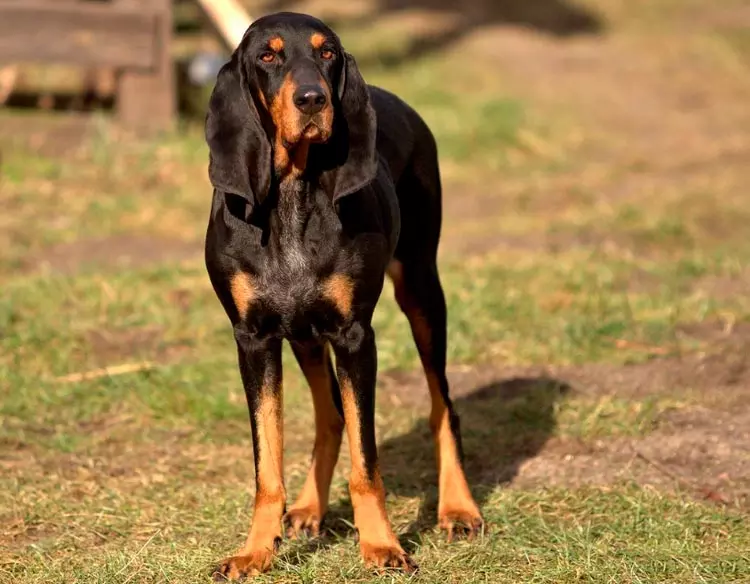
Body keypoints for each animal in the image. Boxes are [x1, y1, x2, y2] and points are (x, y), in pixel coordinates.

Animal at [203, 11, 484, 576]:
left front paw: (382, 545)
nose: (313, 99)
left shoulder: (355, 336)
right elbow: (268, 464)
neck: (292, 196)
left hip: (421, 291)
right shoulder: (254, 340)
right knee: (330, 415)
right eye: (268, 56)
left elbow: (367, 461)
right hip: (305, 335)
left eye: (327, 52)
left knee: (442, 405)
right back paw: (309, 507)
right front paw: (255, 551)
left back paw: (458, 508)